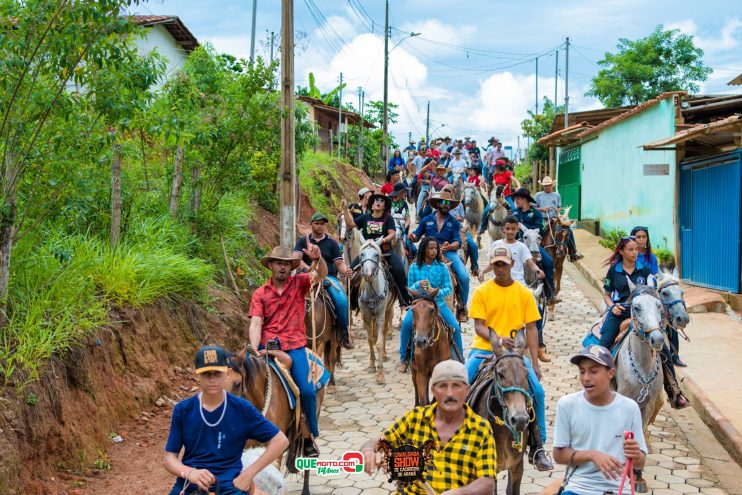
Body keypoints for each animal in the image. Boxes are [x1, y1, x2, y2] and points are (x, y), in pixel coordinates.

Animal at [358, 238, 398, 386]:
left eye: (376, 255)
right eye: (362, 254)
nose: (368, 275)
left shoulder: (381, 315)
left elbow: (379, 342)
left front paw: (380, 375)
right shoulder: (366, 315)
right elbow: (370, 340)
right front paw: (371, 365)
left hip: (388, 310)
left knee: (385, 332)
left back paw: (385, 355)